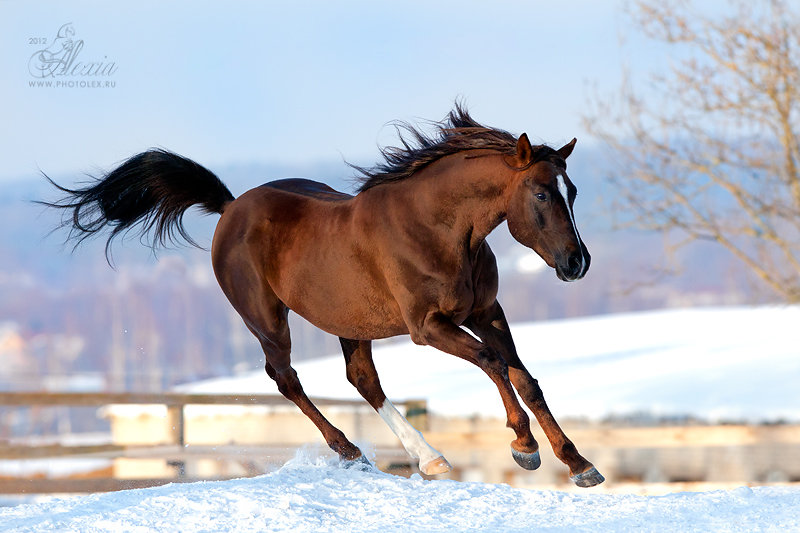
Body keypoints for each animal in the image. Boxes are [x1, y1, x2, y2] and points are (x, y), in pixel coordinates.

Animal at [43, 103, 604, 486]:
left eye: (572, 191)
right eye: (541, 193)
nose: (577, 264)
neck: (439, 228)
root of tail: (229, 208)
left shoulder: (487, 311)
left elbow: (525, 378)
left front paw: (579, 464)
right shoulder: (428, 326)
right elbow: (492, 363)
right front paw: (524, 447)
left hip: (348, 322)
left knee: (362, 380)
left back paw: (429, 458)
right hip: (267, 319)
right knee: (286, 378)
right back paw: (350, 450)